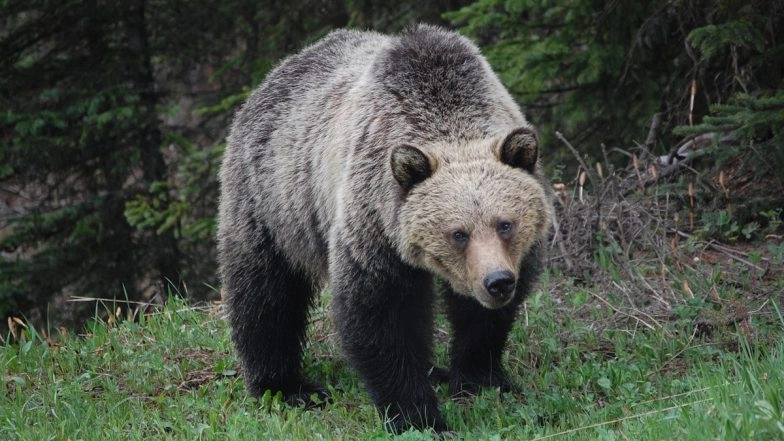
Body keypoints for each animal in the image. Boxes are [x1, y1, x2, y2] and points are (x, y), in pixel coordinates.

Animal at [217, 24, 553, 432]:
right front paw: (418, 415)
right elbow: (381, 314)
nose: (497, 282)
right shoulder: (373, 222)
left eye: (505, 224)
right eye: (458, 233)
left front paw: (482, 378)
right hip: (272, 200)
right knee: (266, 293)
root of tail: (272, 76)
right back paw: (286, 386)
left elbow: (482, 320)